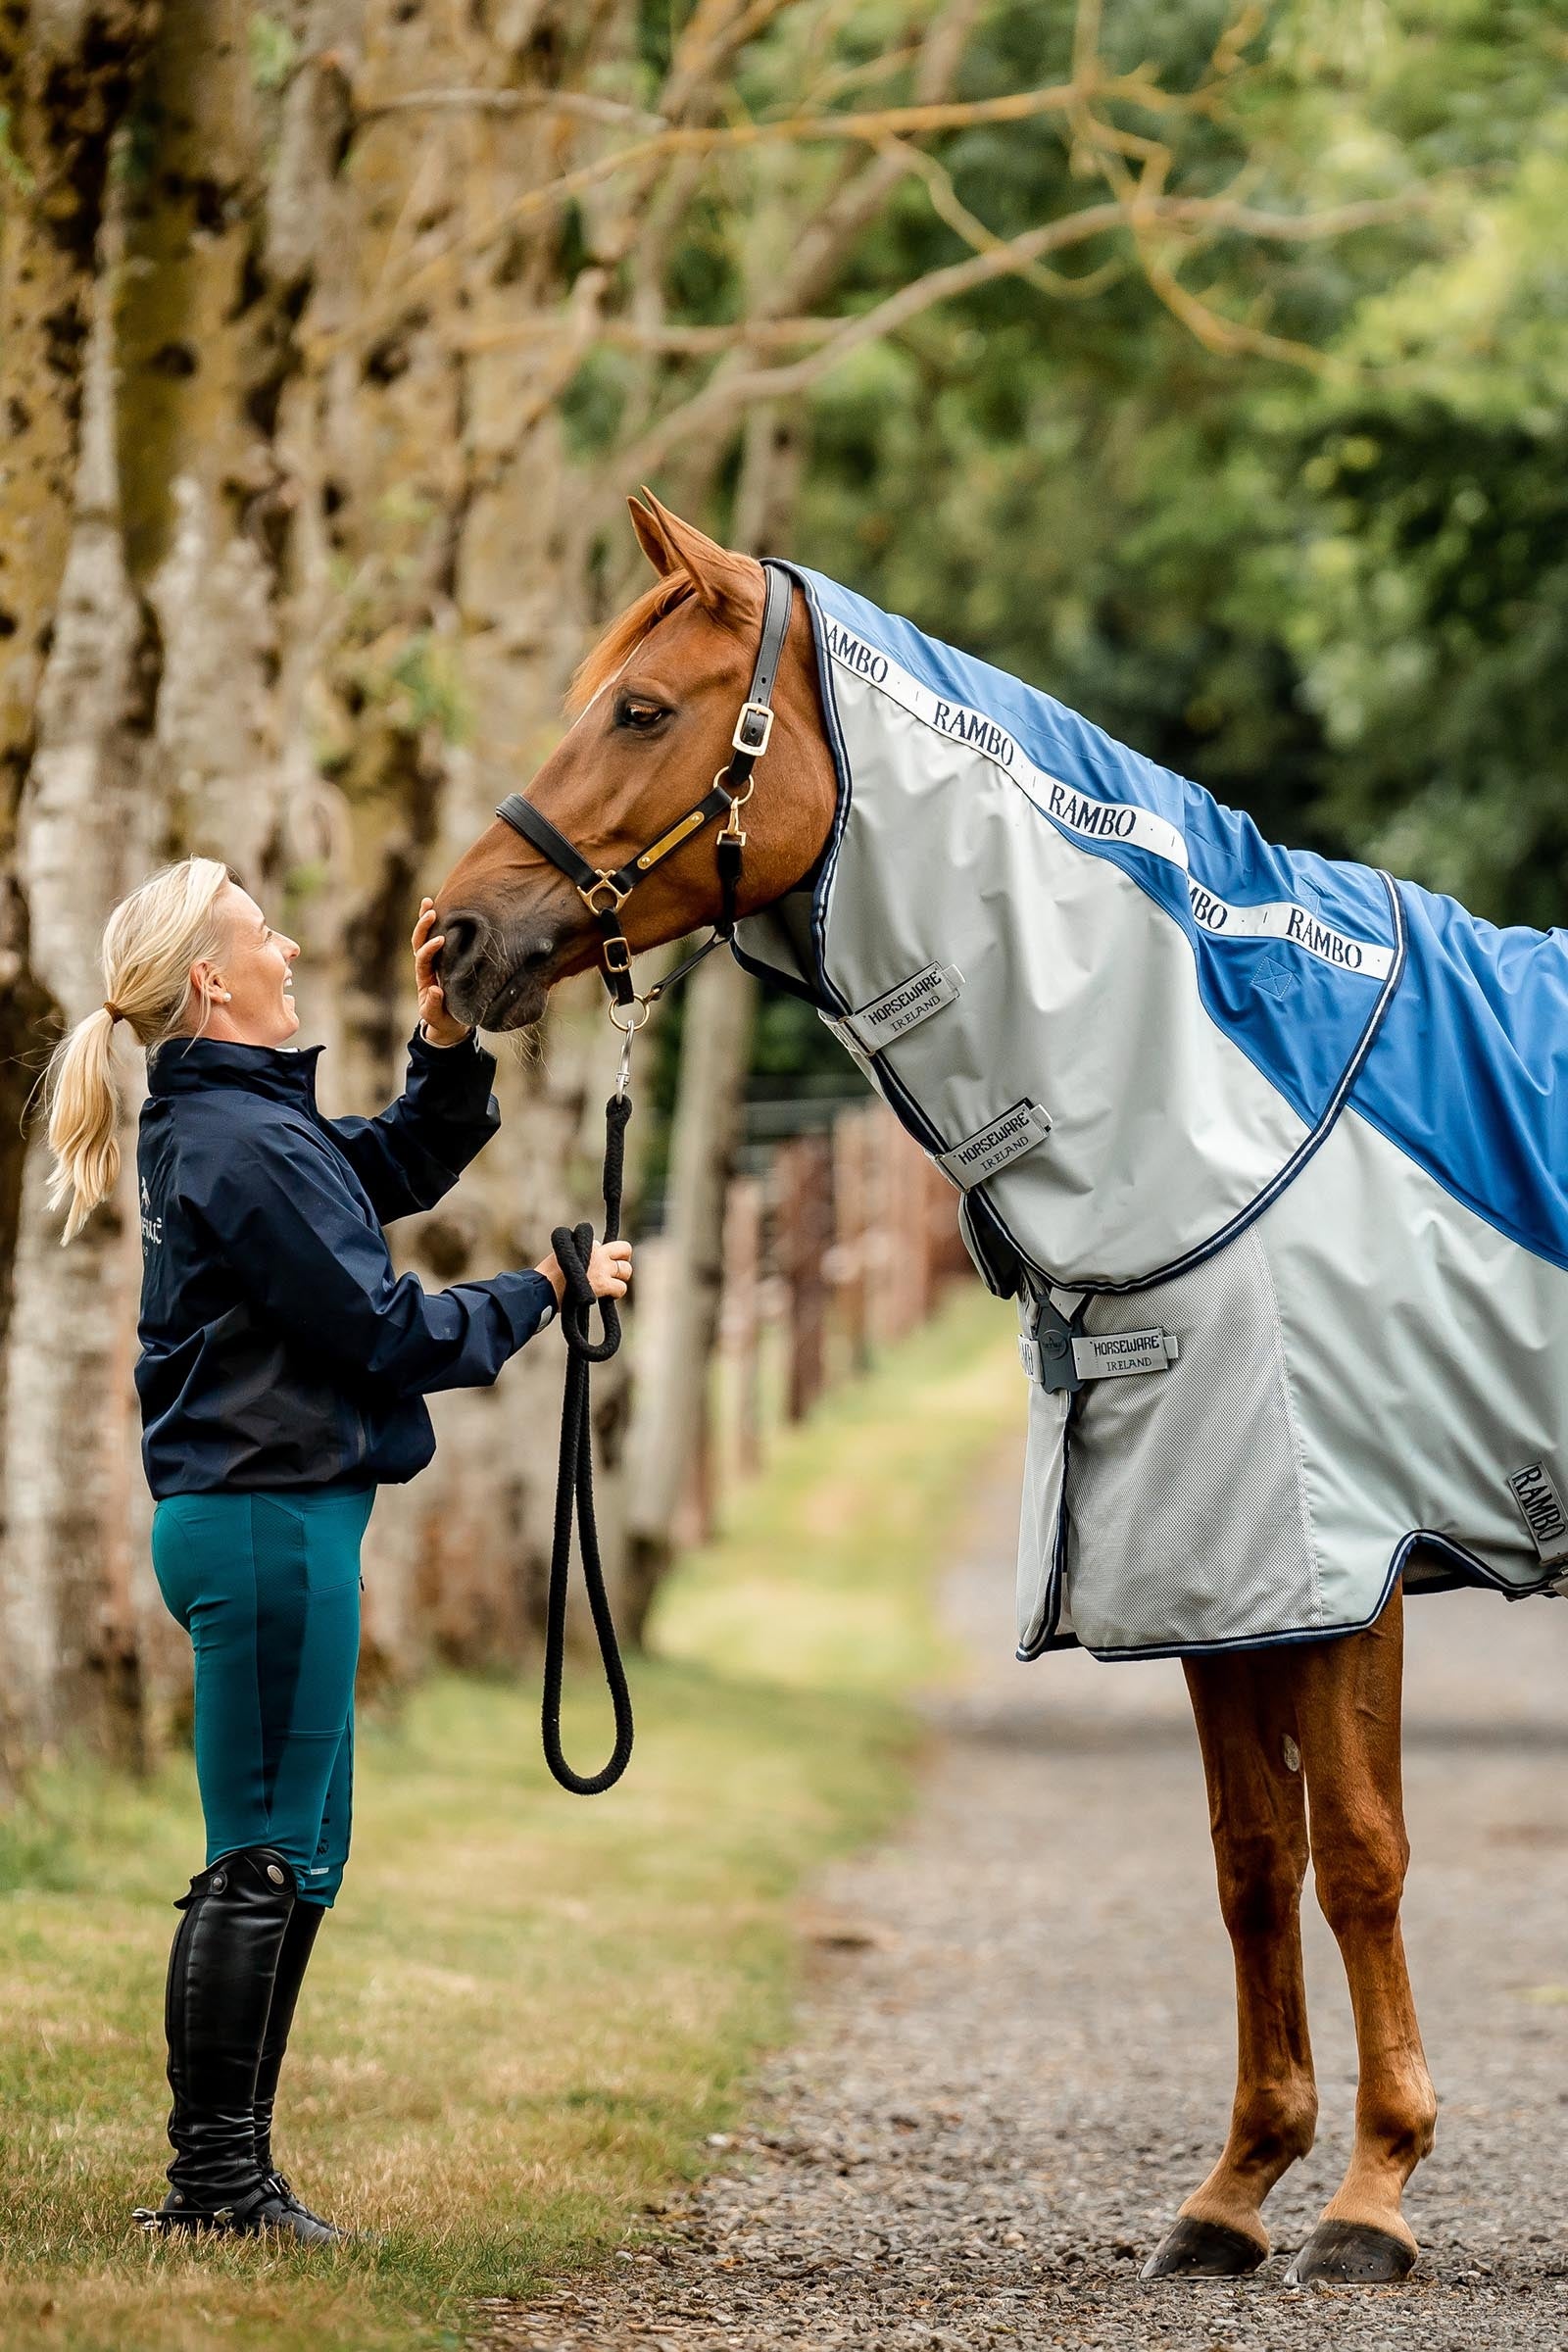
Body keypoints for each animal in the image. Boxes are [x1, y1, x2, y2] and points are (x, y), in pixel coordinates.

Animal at [433, 491, 1568, 2287]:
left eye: (641, 709)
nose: (452, 937)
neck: (1224, 1116)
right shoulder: (1203, 1578)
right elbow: (1254, 1865)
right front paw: (1236, 2189)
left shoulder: (1343, 1567)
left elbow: (1362, 1862)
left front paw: (1376, 2197)